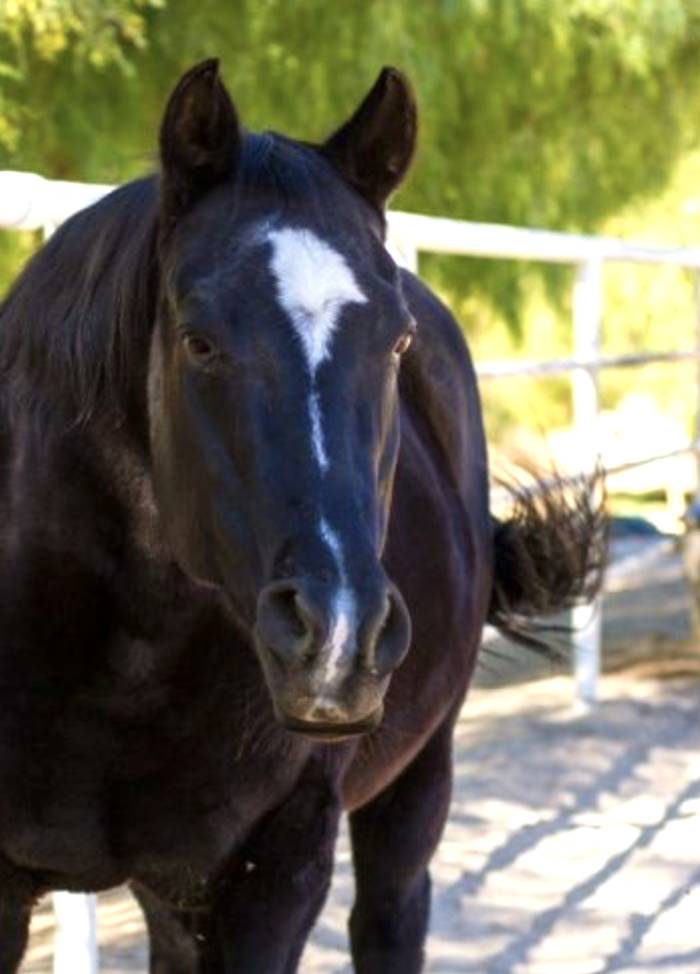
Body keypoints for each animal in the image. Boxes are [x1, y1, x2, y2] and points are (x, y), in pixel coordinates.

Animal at [0, 60, 604, 972]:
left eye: (396, 343)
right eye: (198, 340)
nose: (339, 639)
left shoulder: (275, 872)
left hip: (417, 779)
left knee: (391, 913)